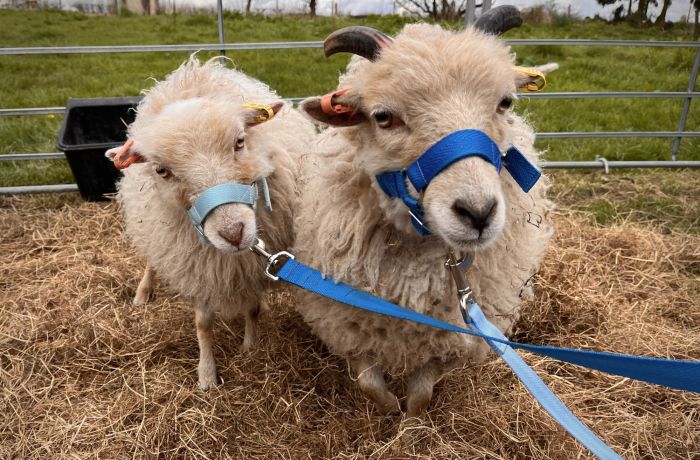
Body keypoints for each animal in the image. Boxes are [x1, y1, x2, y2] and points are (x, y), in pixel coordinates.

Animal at [108, 56, 315, 390]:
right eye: (162, 170)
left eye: (240, 141)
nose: (233, 233)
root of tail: (194, 69)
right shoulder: (197, 267)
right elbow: (203, 323)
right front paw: (206, 375)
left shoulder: (252, 268)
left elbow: (252, 308)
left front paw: (250, 347)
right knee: (152, 259)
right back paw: (143, 292)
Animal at [293, 7, 558, 417]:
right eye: (383, 117)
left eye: (505, 103)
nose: (478, 213)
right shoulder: (344, 321)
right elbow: (370, 384)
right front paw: (388, 411)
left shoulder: (451, 338)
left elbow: (422, 393)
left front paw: (411, 420)